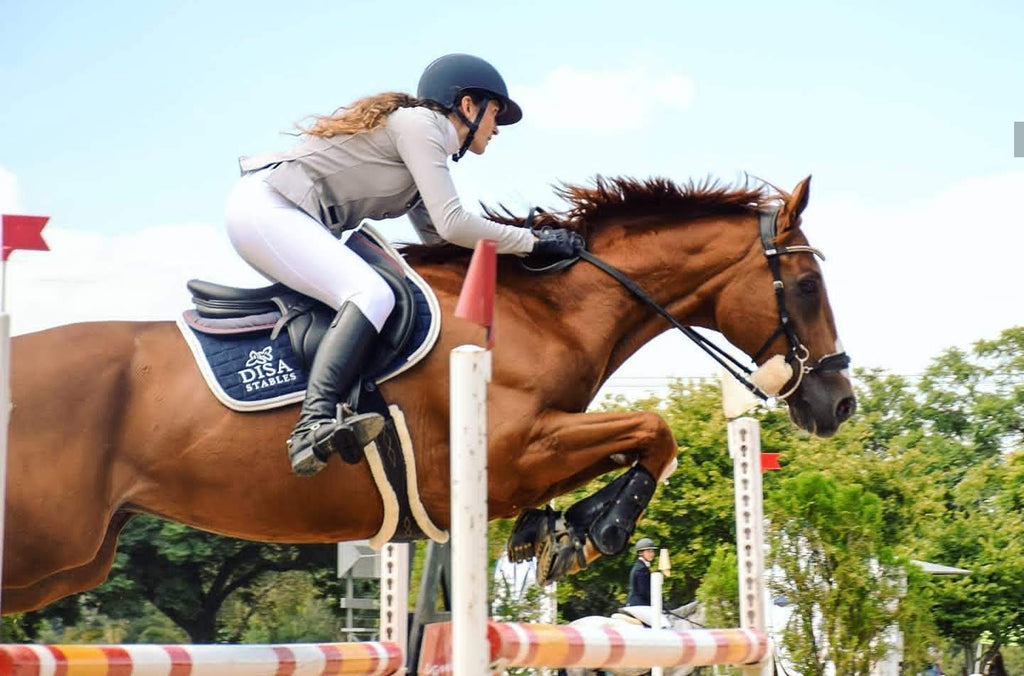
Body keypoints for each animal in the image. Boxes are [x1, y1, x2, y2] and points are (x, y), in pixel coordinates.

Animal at [2, 173, 856, 614]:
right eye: (807, 285)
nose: (839, 403)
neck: (543, 310)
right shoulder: (508, 454)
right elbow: (654, 429)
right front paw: (596, 528)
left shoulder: (520, 461)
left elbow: (634, 442)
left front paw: (559, 530)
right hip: (48, 545)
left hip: (69, 563)